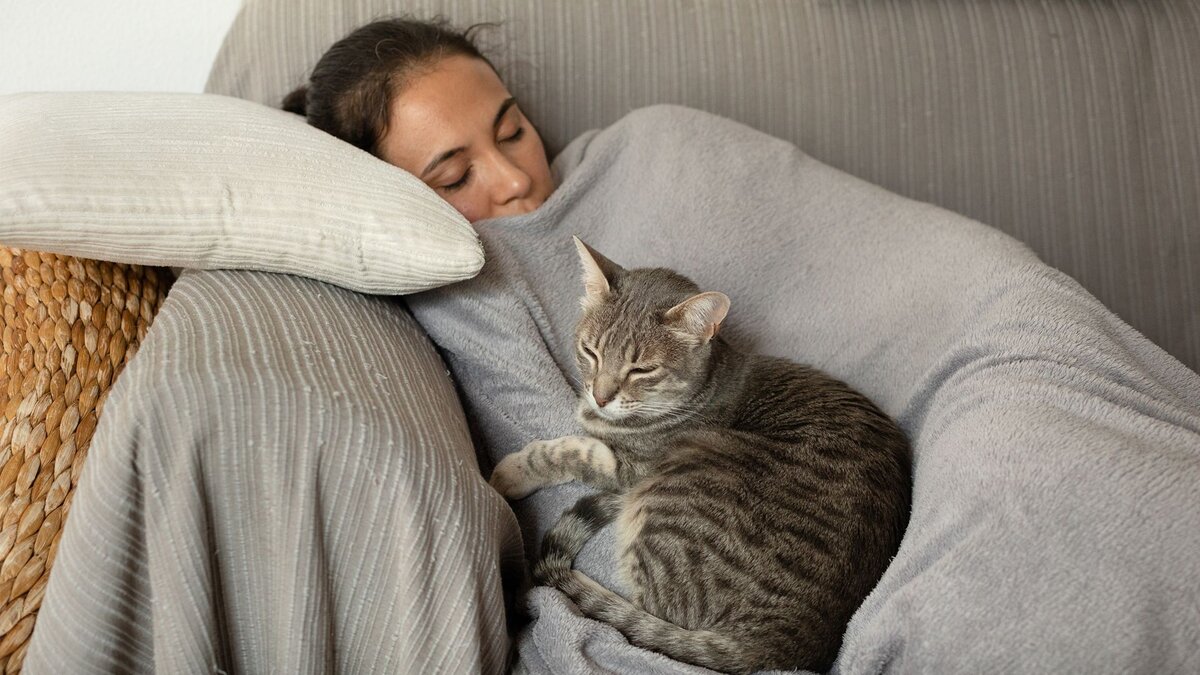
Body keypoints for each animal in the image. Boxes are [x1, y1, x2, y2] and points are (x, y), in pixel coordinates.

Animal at [487, 235, 907, 667]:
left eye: (642, 370)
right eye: (590, 352)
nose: (600, 397)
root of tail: (780, 644)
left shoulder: (632, 469)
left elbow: (572, 451)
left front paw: (510, 473)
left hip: (669, 491)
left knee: (640, 618)